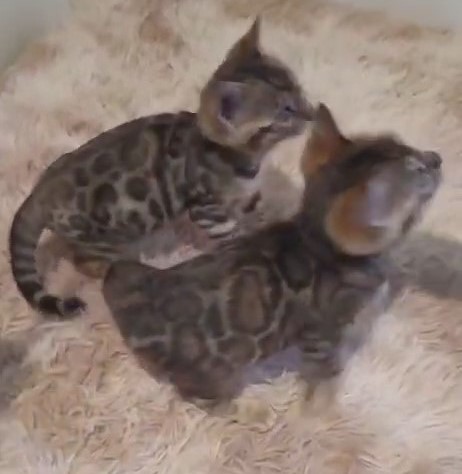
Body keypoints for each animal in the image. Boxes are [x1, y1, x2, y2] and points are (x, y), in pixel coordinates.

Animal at [9, 17, 313, 319]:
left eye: (300, 90)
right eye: (286, 111)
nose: (312, 113)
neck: (242, 160)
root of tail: (37, 193)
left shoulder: (246, 195)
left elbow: (258, 212)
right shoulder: (207, 211)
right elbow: (232, 237)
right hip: (101, 237)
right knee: (84, 261)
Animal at [102, 103, 442, 411]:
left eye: (405, 143)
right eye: (418, 169)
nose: (437, 158)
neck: (316, 238)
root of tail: (134, 312)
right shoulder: (323, 335)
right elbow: (324, 375)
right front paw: (322, 412)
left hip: (132, 269)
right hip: (214, 375)